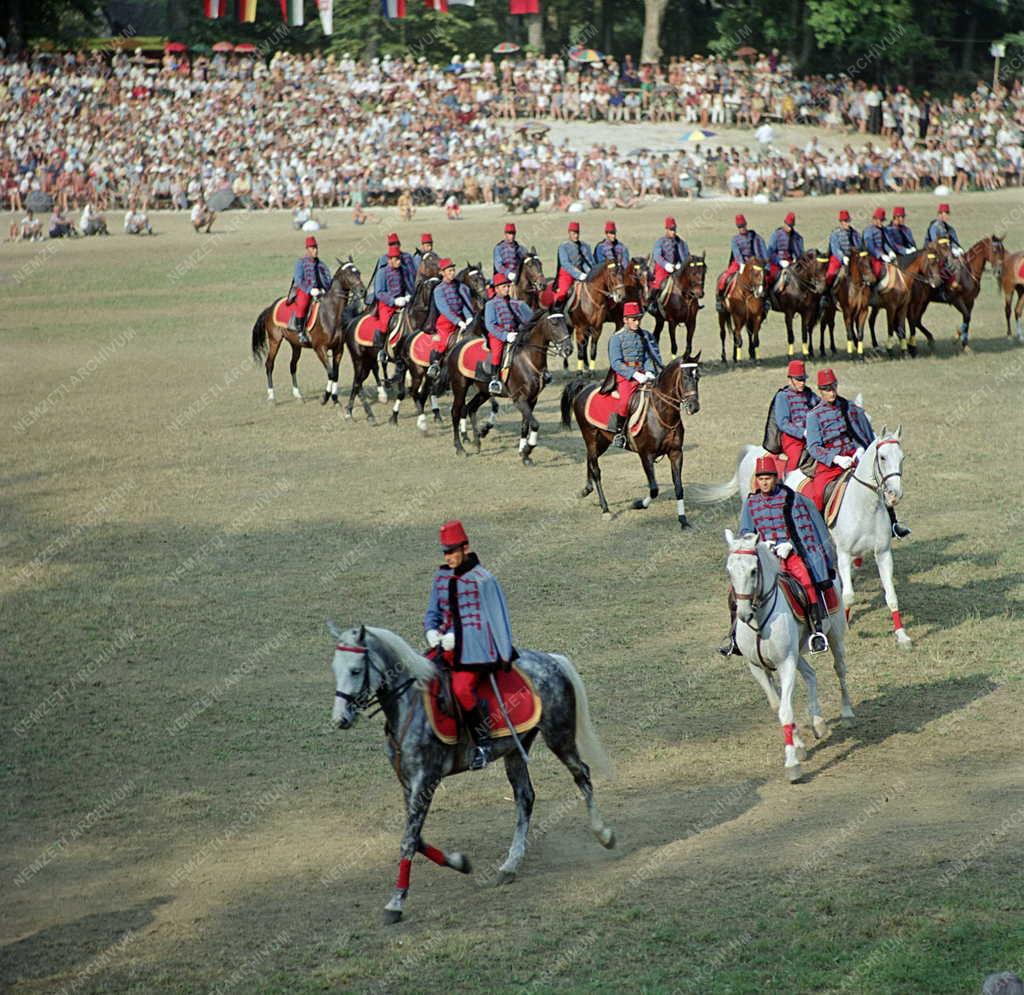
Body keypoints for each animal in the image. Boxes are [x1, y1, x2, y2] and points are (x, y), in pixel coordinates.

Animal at [249, 260, 366, 407]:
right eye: (349, 274)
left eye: (359, 272)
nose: (363, 291)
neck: (330, 314)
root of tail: (271, 307)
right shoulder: (320, 349)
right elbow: (330, 373)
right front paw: (326, 397)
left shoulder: (338, 349)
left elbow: (335, 374)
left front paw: (335, 399)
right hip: (274, 341)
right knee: (269, 364)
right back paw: (272, 397)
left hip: (296, 345)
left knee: (292, 366)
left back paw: (298, 395)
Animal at [329, 622, 614, 925]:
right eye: (335, 668)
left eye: (355, 670)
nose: (340, 719)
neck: (408, 705)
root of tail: (552, 660)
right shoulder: (407, 782)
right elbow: (416, 837)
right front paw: (459, 862)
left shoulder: (425, 780)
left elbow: (408, 840)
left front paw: (395, 903)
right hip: (516, 749)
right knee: (525, 797)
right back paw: (509, 866)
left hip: (558, 736)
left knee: (581, 774)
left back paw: (604, 834)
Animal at [448, 309, 577, 464]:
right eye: (554, 323)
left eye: (566, 323)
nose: (569, 349)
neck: (528, 359)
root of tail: (459, 344)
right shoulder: (519, 400)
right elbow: (534, 424)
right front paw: (528, 450)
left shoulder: (532, 400)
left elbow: (525, 425)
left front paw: (523, 454)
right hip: (460, 387)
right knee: (456, 412)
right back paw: (460, 448)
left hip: (484, 392)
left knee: (470, 408)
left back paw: (477, 441)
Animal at [561, 356, 704, 532]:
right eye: (684, 377)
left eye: (697, 377)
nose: (694, 407)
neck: (660, 412)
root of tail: (586, 387)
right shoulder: (645, 456)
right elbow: (654, 489)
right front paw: (638, 504)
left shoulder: (676, 453)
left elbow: (679, 487)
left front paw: (683, 521)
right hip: (591, 437)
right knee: (596, 469)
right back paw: (605, 509)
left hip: (602, 441)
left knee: (589, 459)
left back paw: (587, 489)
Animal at [724, 532, 860, 782]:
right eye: (729, 571)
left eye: (753, 571)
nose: (744, 614)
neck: (760, 622)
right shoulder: (757, 667)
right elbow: (777, 705)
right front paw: (798, 745)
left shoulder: (785, 663)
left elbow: (785, 711)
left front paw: (792, 764)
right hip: (797, 653)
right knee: (811, 674)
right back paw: (818, 723)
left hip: (834, 636)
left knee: (840, 670)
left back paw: (846, 713)